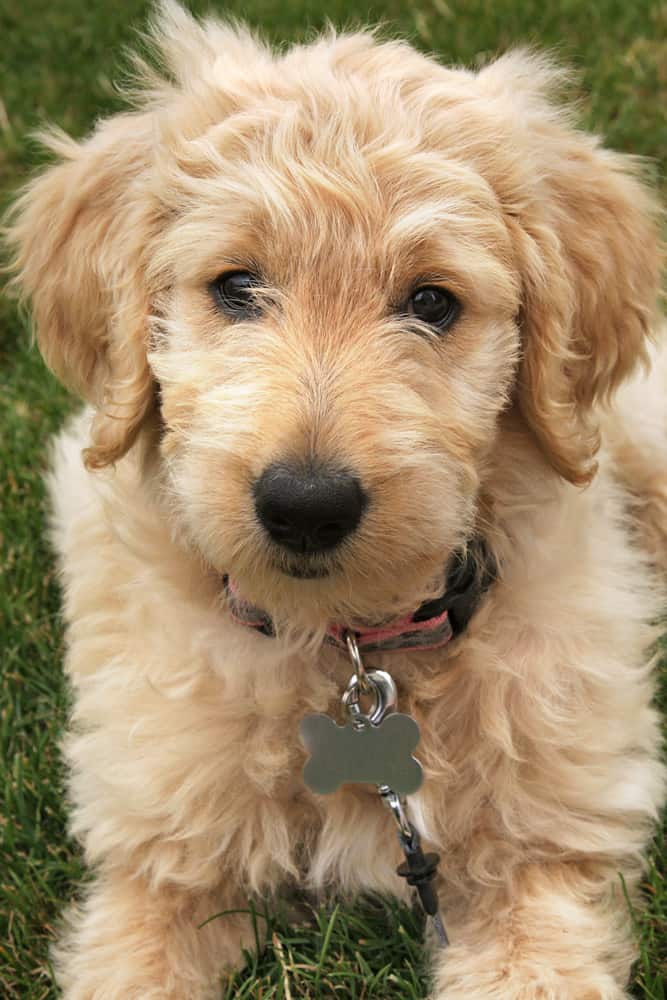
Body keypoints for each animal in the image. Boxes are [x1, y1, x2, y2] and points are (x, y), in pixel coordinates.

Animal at [6, 0, 667, 996]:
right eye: (236, 286)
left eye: (431, 302)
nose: (306, 506)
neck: (352, 653)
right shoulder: (157, 863)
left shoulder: (541, 858)